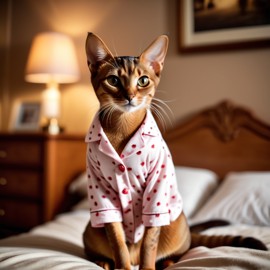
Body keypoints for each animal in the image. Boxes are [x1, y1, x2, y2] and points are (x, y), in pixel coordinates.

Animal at [83, 33, 266, 270]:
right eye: (113, 80)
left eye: (143, 80)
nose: (130, 96)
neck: (122, 128)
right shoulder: (101, 191)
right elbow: (117, 240)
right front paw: (121, 266)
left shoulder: (156, 188)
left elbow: (150, 243)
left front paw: (148, 267)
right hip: (91, 227)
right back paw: (103, 261)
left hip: (175, 224)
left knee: (182, 249)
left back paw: (167, 261)